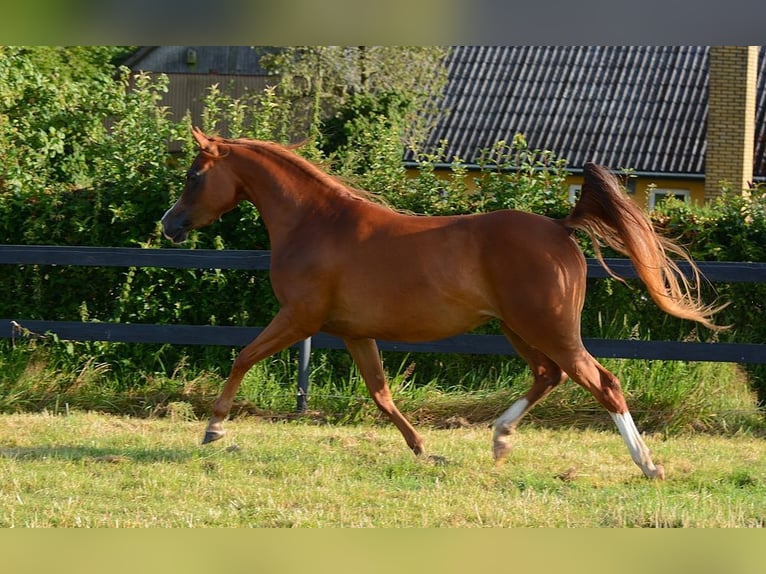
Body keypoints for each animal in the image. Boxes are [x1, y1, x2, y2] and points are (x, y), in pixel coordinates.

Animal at [164, 128, 728, 480]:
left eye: (194, 175)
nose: (169, 226)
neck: (315, 222)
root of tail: (560, 228)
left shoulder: (299, 317)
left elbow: (243, 356)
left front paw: (213, 428)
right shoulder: (352, 331)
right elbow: (381, 393)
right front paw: (423, 449)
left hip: (547, 327)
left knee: (602, 382)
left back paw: (648, 465)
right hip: (517, 328)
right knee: (549, 375)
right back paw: (500, 437)